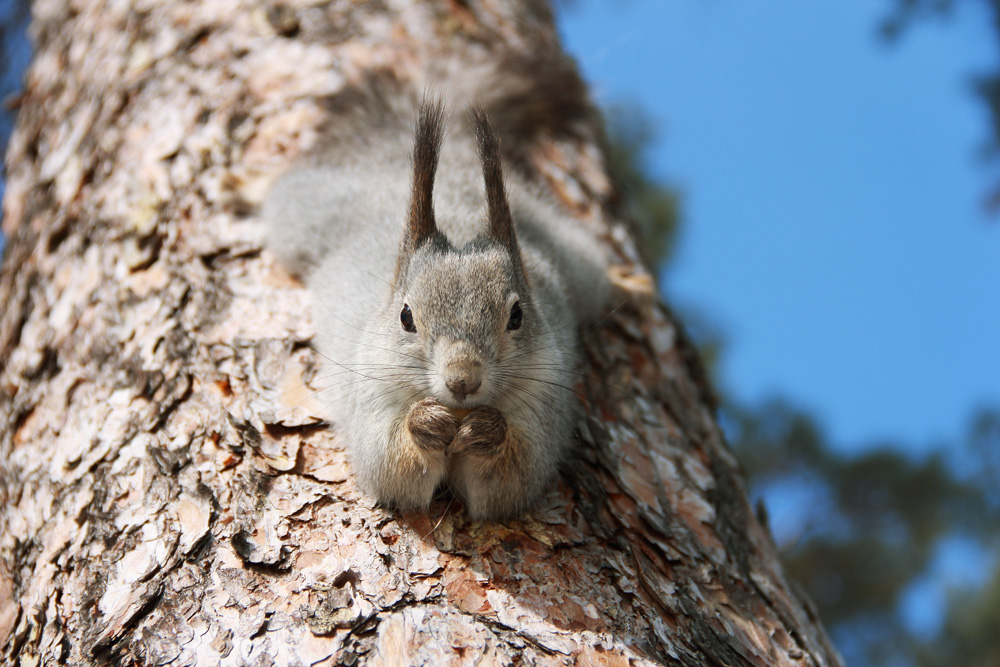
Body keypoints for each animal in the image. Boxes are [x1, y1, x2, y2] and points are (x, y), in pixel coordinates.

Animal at [264, 73, 608, 520]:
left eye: (517, 316)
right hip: (305, 217)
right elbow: (390, 468)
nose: (462, 381)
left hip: (576, 260)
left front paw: (487, 431)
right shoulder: (370, 394)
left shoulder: (543, 401)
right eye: (406, 317)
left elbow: (511, 481)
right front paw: (425, 423)